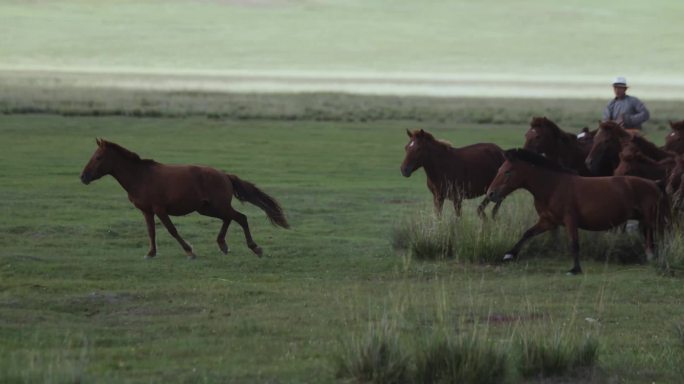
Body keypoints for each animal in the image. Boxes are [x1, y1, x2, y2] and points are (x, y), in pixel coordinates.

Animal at [80, 140, 288, 260]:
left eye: (98, 157)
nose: (83, 177)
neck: (140, 177)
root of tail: (225, 175)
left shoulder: (160, 208)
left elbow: (172, 230)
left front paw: (189, 251)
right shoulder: (147, 211)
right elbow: (151, 232)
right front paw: (150, 253)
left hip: (217, 206)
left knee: (240, 218)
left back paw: (255, 248)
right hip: (207, 208)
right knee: (229, 218)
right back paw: (223, 244)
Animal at [486, 148, 668, 274]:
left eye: (507, 172)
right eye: (498, 170)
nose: (490, 193)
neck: (553, 186)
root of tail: (655, 184)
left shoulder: (570, 220)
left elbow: (574, 244)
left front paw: (575, 269)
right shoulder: (548, 222)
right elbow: (527, 234)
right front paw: (509, 255)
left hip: (653, 219)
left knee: (659, 238)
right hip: (646, 220)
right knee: (650, 240)